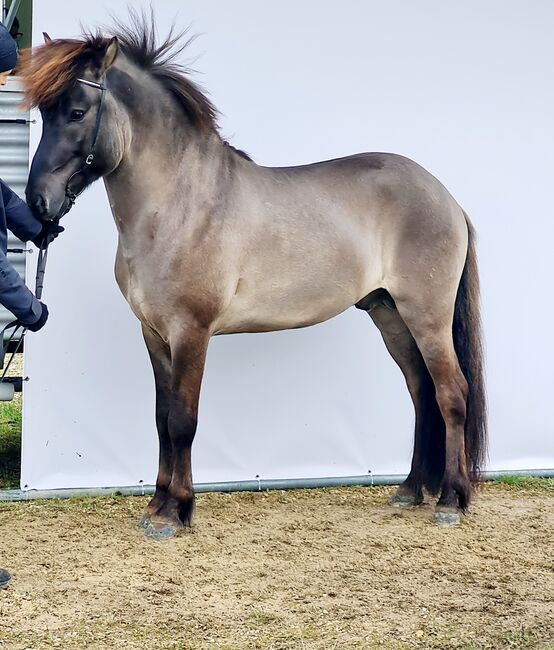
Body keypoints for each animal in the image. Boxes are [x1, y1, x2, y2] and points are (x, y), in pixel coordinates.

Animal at [20, 17, 484, 540]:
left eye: (77, 112)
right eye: (44, 113)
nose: (38, 203)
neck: (180, 204)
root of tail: (447, 198)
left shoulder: (192, 332)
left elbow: (182, 420)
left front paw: (174, 512)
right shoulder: (154, 333)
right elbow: (160, 419)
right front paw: (157, 505)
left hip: (427, 314)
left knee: (452, 394)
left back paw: (450, 500)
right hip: (389, 314)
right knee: (421, 391)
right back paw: (410, 490)